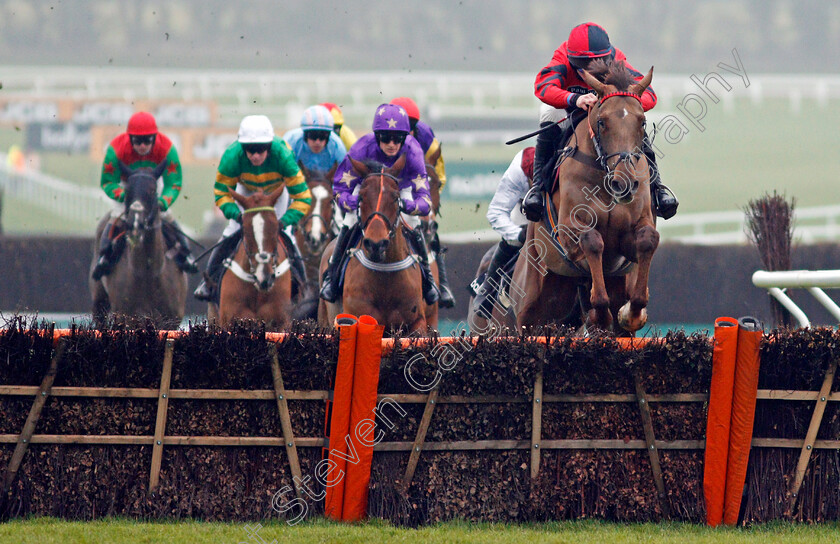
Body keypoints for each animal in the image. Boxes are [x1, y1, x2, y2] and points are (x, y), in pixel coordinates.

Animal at [89, 159, 186, 330]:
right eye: (128, 191)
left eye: (152, 191)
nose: (135, 222)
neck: (148, 273)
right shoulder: (127, 318)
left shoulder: (171, 320)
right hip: (99, 302)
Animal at [508, 62, 660, 336]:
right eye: (602, 122)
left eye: (642, 122)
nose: (624, 183)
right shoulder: (569, 230)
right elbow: (592, 241)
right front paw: (600, 315)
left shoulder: (632, 234)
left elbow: (648, 239)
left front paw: (632, 312)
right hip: (530, 311)